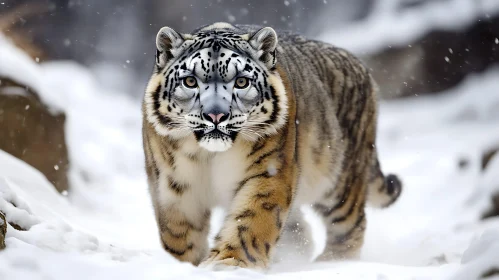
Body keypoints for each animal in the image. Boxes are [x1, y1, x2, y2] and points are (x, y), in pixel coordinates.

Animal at [142, 20, 402, 270]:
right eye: (190, 81)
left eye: (241, 82)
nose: (216, 115)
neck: (209, 156)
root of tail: (362, 67)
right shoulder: (174, 183)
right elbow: (179, 233)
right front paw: (182, 265)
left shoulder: (268, 172)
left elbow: (250, 220)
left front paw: (229, 264)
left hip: (341, 182)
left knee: (350, 225)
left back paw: (333, 263)